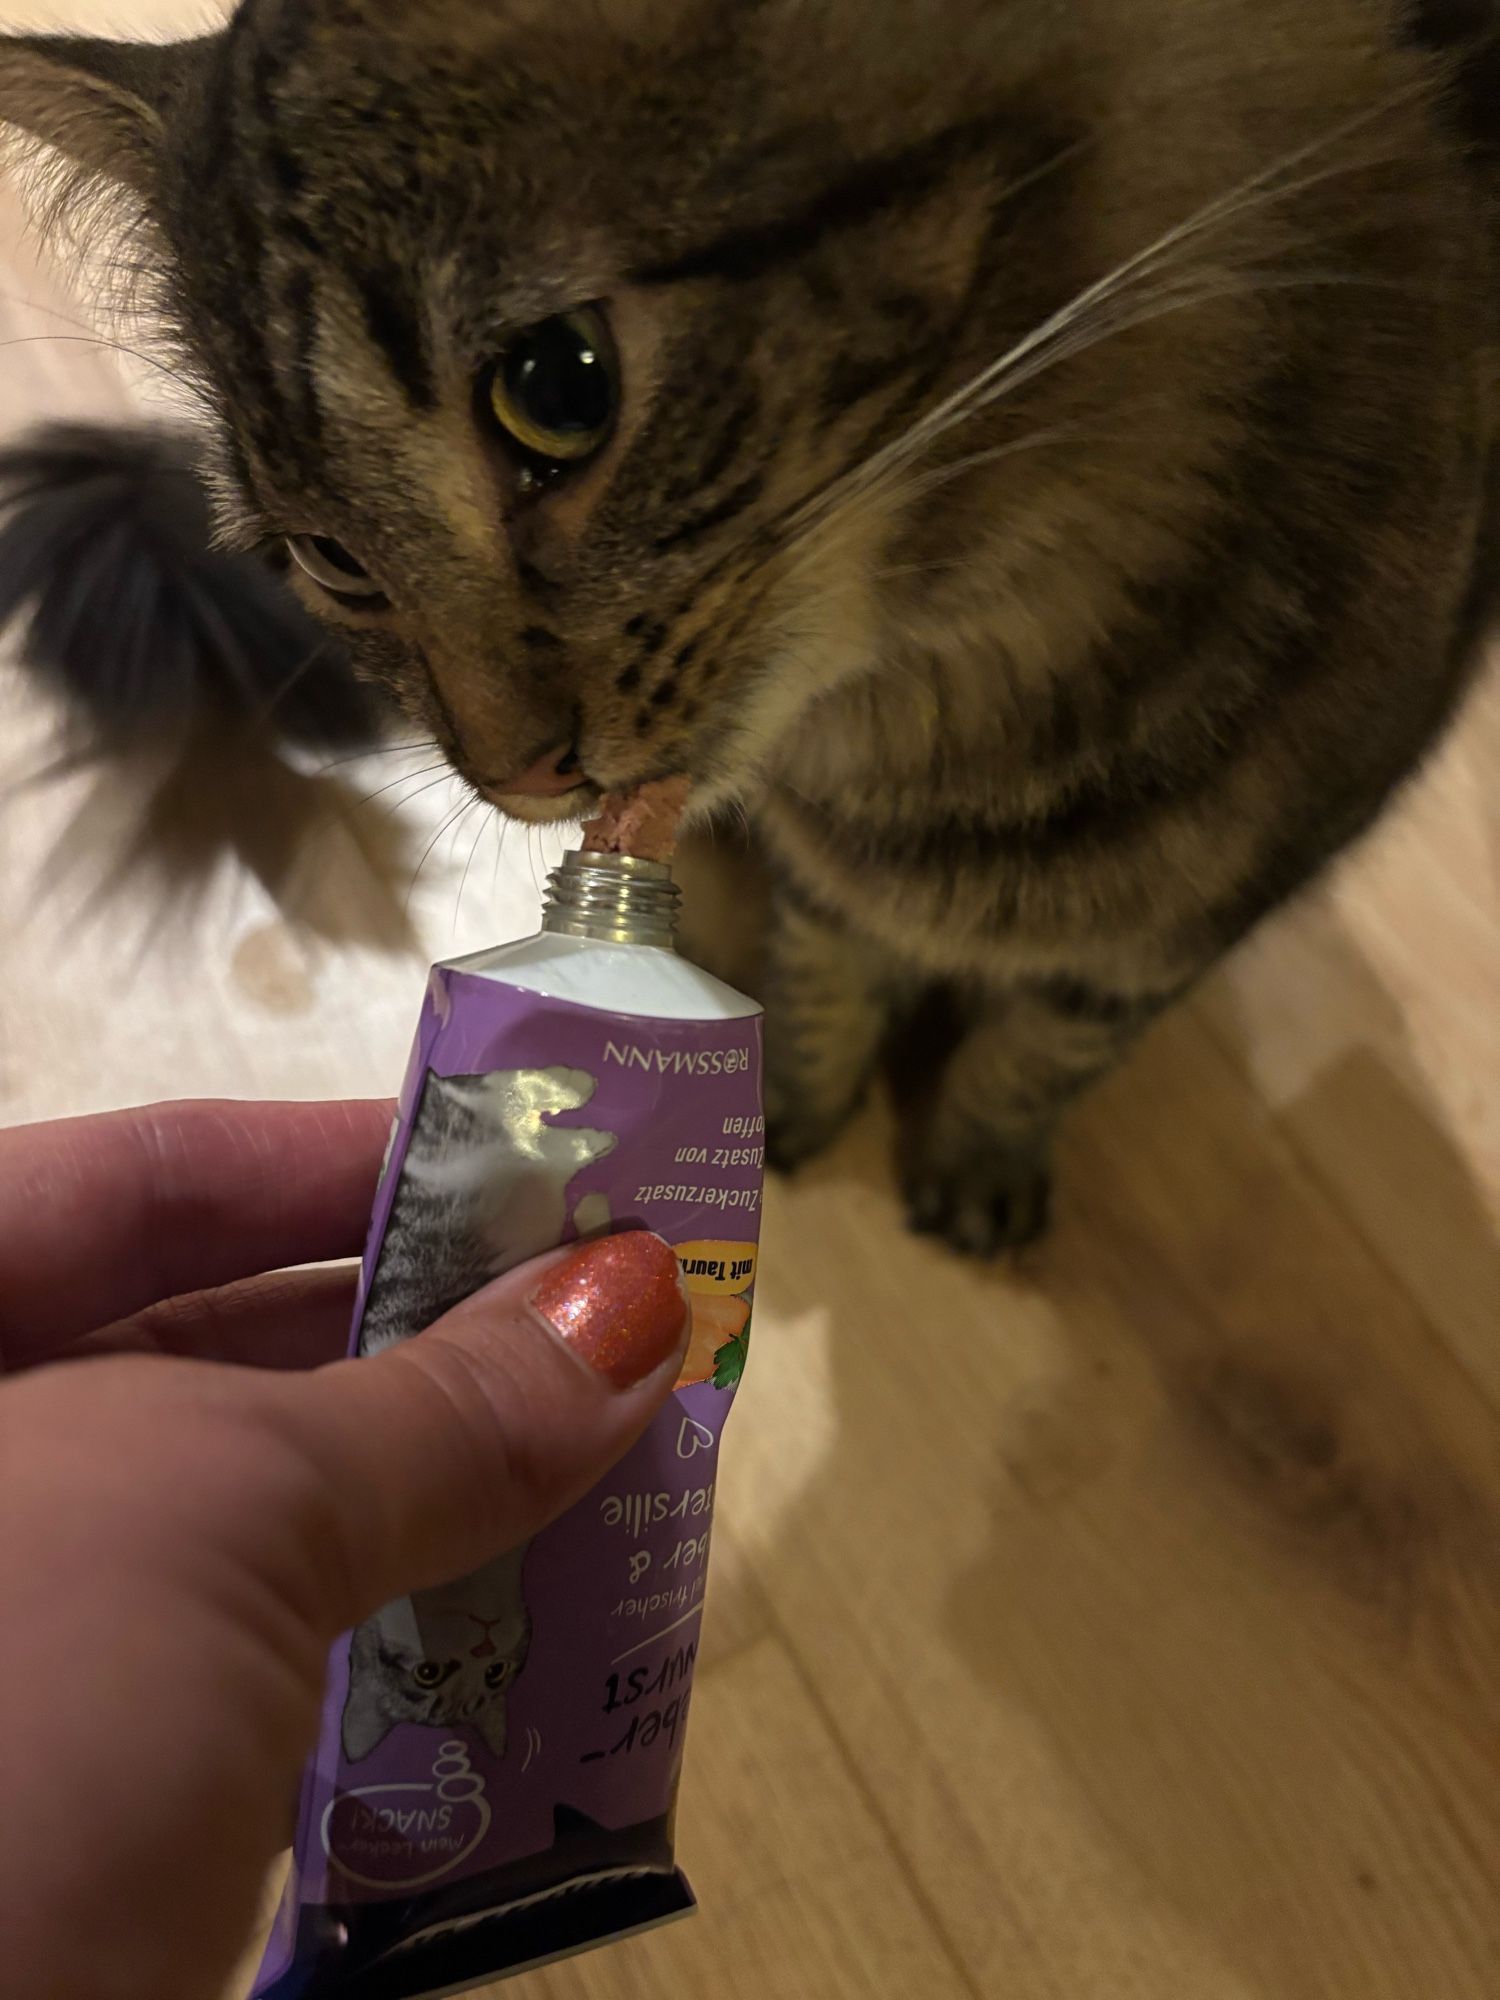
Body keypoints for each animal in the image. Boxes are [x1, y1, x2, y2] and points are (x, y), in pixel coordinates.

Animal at [0, 0, 1496, 1248]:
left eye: (558, 386)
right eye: (331, 560)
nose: (512, 770)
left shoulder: (1198, 914)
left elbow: (1044, 1049)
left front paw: (974, 1163)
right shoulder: (825, 877)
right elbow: (826, 969)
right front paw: (793, 1113)